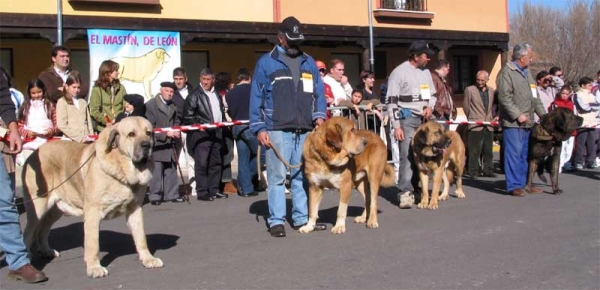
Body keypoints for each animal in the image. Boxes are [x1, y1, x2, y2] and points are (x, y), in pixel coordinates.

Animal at [21, 116, 164, 278]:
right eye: (131, 134)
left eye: (148, 133)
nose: (146, 145)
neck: (122, 168)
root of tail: (34, 153)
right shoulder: (93, 212)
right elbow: (93, 244)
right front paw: (94, 267)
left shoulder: (135, 209)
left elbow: (141, 237)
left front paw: (148, 259)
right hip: (38, 207)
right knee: (28, 232)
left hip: (56, 209)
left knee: (44, 229)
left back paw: (46, 251)